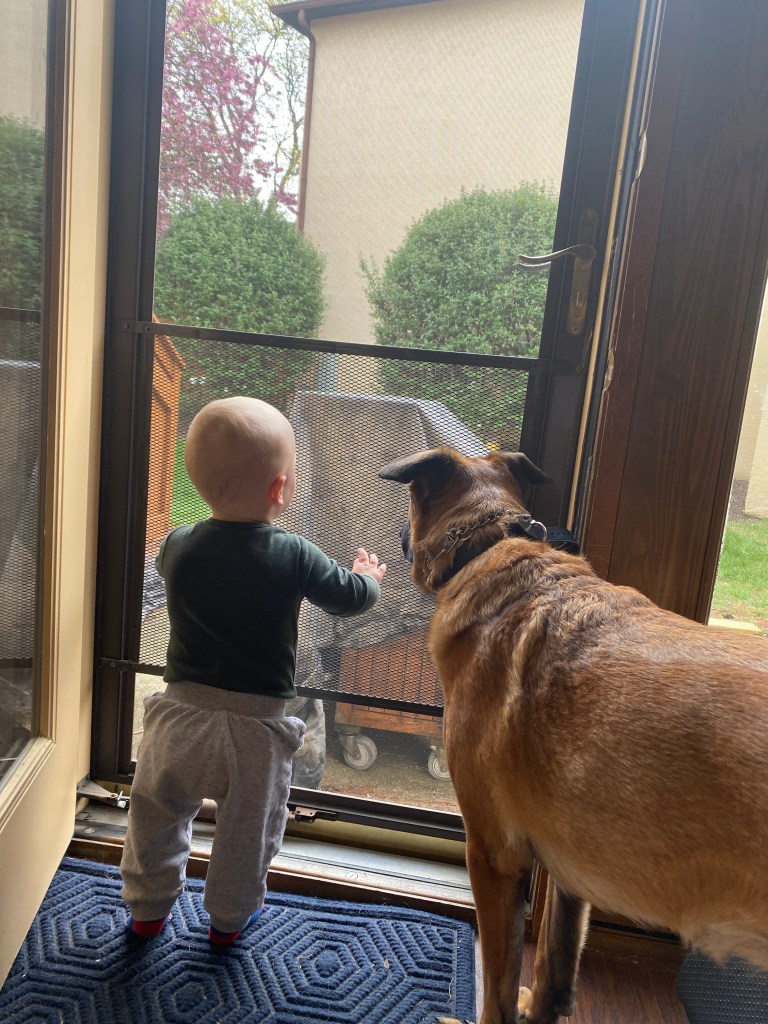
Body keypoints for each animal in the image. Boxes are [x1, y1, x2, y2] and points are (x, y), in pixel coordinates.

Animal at [378, 445, 768, 1024]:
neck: (492, 544)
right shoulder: (569, 862)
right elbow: (556, 961)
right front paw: (542, 1006)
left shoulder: (493, 854)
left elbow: (497, 985)